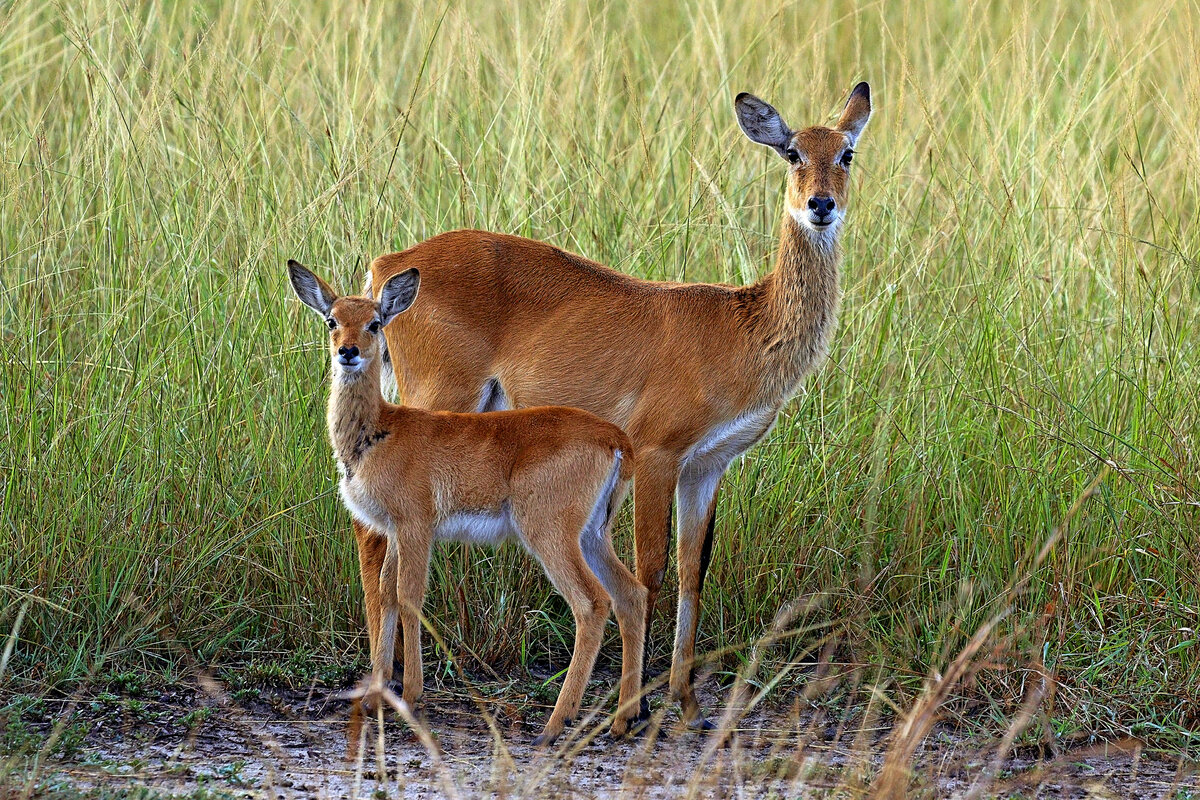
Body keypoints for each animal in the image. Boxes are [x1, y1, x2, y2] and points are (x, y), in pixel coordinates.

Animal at [285, 262, 648, 743]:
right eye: (332, 320)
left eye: (375, 323)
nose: (348, 352)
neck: (379, 431)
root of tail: (617, 439)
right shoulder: (394, 530)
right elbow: (384, 592)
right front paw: (376, 695)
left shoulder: (416, 525)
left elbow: (408, 595)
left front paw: (412, 695)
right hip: (593, 534)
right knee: (631, 595)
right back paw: (623, 719)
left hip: (549, 532)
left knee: (591, 604)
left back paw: (554, 724)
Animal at [355, 84, 873, 729]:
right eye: (793, 152)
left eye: (847, 153)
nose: (820, 204)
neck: (744, 326)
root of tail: (386, 266)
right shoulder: (656, 452)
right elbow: (650, 568)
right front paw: (635, 708)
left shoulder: (707, 467)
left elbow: (692, 569)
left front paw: (688, 702)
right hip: (439, 398)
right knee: (376, 540)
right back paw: (388, 690)